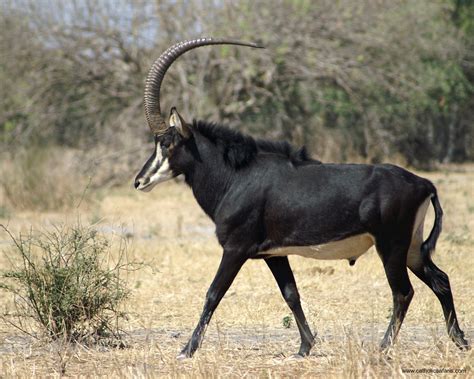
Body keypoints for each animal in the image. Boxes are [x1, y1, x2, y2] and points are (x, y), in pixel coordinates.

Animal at [134, 37, 470, 360]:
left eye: (168, 143)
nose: (140, 181)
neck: (235, 176)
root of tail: (424, 183)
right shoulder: (274, 254)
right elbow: (291, 294)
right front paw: (305, 347)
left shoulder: (235, 249)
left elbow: (213, 294)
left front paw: (186, 350)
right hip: (411, 248)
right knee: (440, 280)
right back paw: (460, 341)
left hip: (391, 247)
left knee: (403, 292)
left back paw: (384, 348)